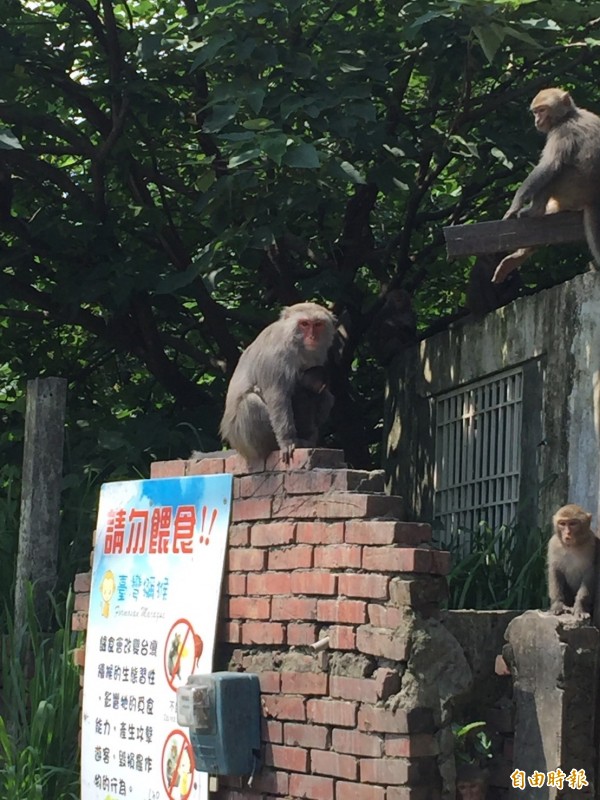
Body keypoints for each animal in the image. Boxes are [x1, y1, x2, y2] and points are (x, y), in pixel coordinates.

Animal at [492, 89, 600, 282]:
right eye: (535, 112)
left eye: (542, 110)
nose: (537, 120)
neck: (567, 116)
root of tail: (593, 197)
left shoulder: (561, 132)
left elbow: (550, 166)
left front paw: (515, 204)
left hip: (575, 189)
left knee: (556, 174)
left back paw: (535, 211)